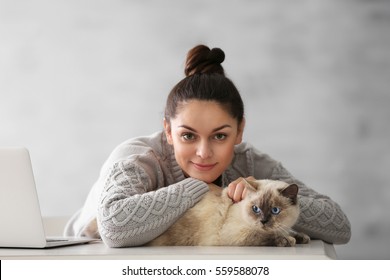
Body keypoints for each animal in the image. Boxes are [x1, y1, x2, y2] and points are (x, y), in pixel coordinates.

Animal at [146, 180, 310, 246]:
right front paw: (288, 240)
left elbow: (290, 231)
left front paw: (302, 237)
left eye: (275, 210)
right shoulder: (235, 235)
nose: (263, 221)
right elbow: (265, 236)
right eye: (256, 209)